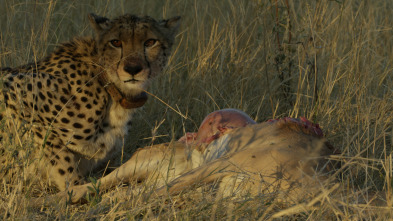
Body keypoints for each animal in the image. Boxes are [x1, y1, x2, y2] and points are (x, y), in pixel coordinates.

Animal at [0, 13, 181, 190]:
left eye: (150, 42)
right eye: (116, 42)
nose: (132, 69)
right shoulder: (14, 88)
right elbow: (61, 159)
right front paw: (75, 186)